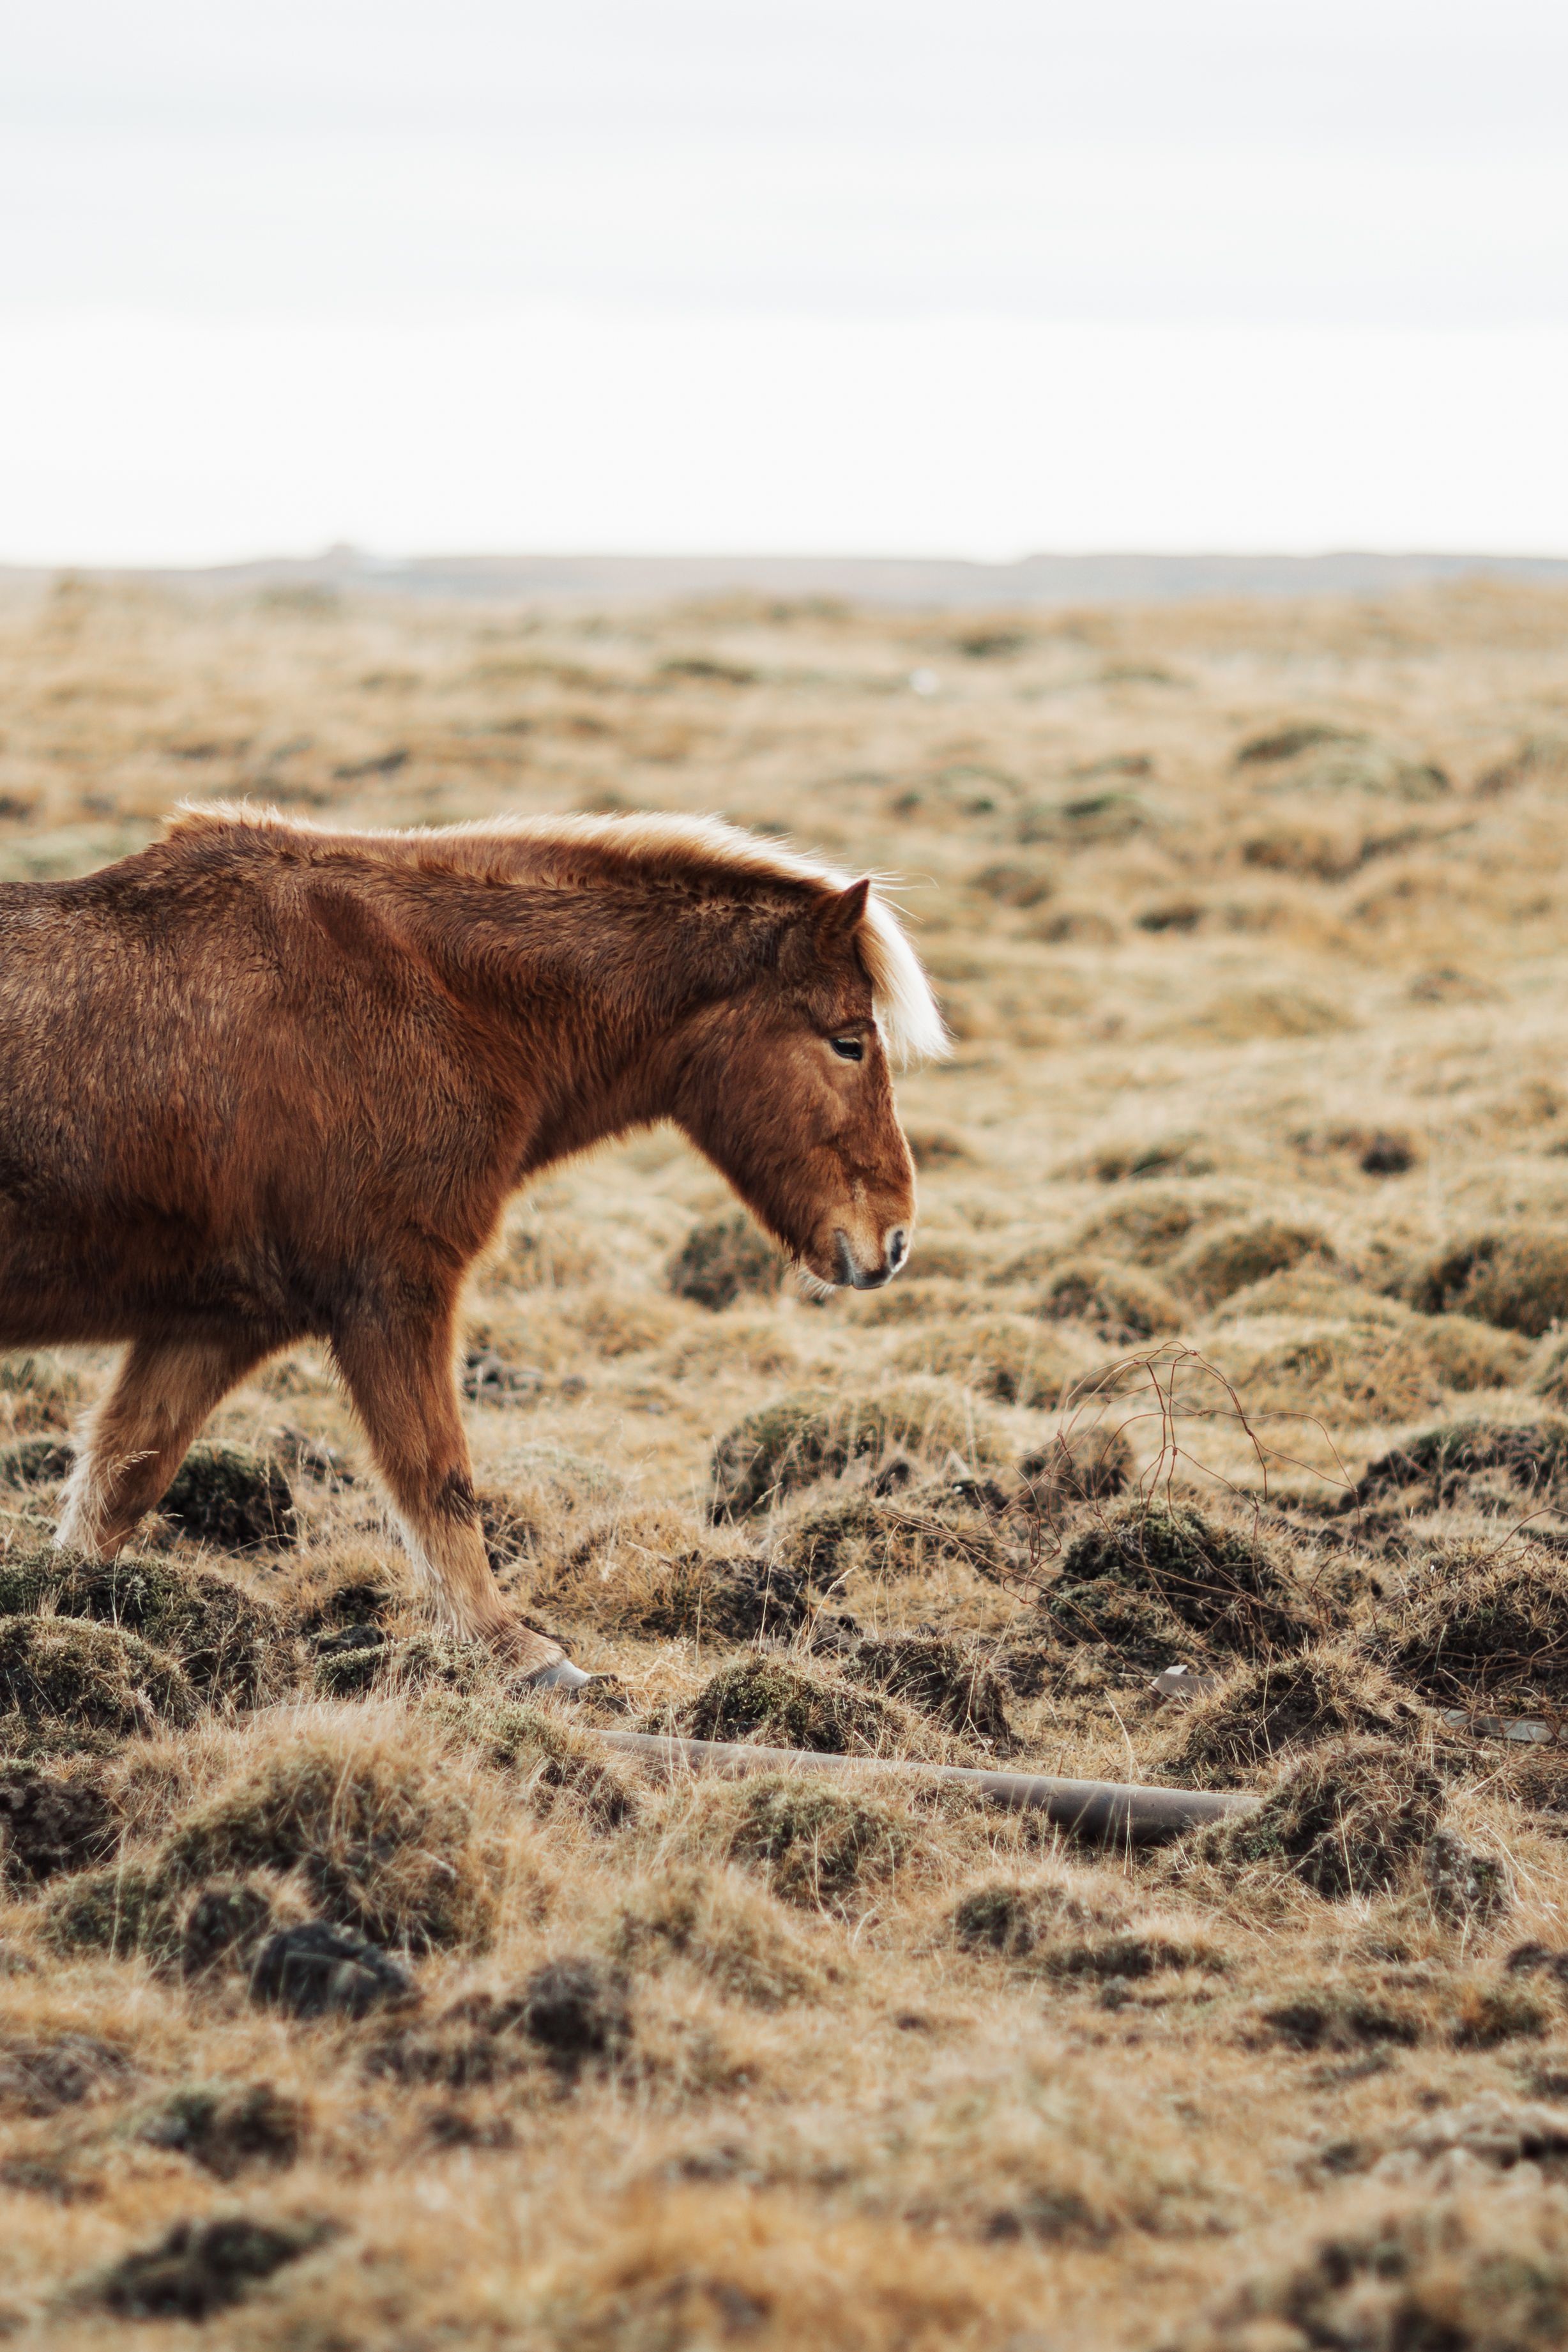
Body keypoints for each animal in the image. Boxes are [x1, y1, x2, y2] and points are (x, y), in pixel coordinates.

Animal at [0, 804, 946, 1684]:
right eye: (847, 1041)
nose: (893, 1240)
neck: (431, 995)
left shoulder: (213, 1320)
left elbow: (118, 1479)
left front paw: (59, 1613)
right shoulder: (393, 1291)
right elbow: (436, 1476)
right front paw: (519, 1653)